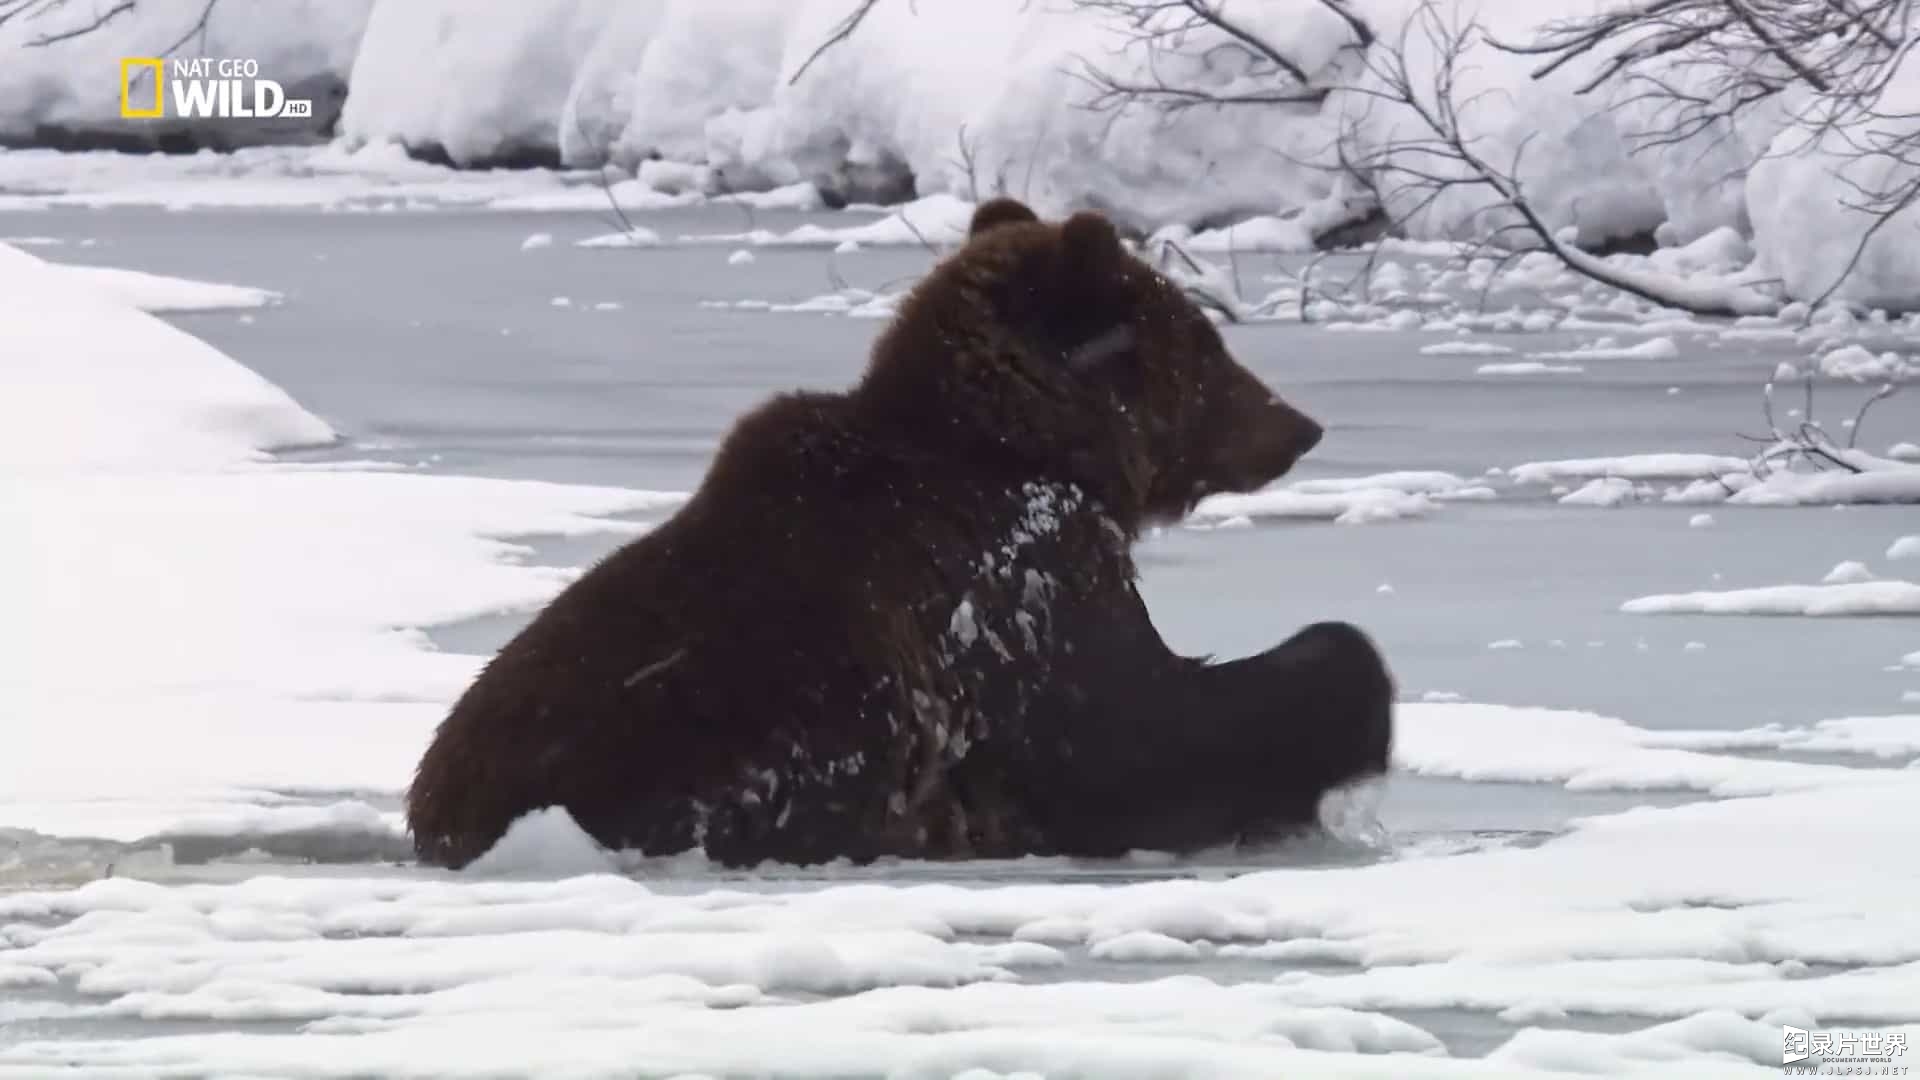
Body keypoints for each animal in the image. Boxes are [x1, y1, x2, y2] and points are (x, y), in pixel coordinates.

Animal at [408, 195, 1397, 864]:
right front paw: (1348, 679)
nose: (1301, 425)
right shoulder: (1019, 585)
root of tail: (438, 820)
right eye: (1206, 343)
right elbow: (1140, 737)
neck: (1024, 446)